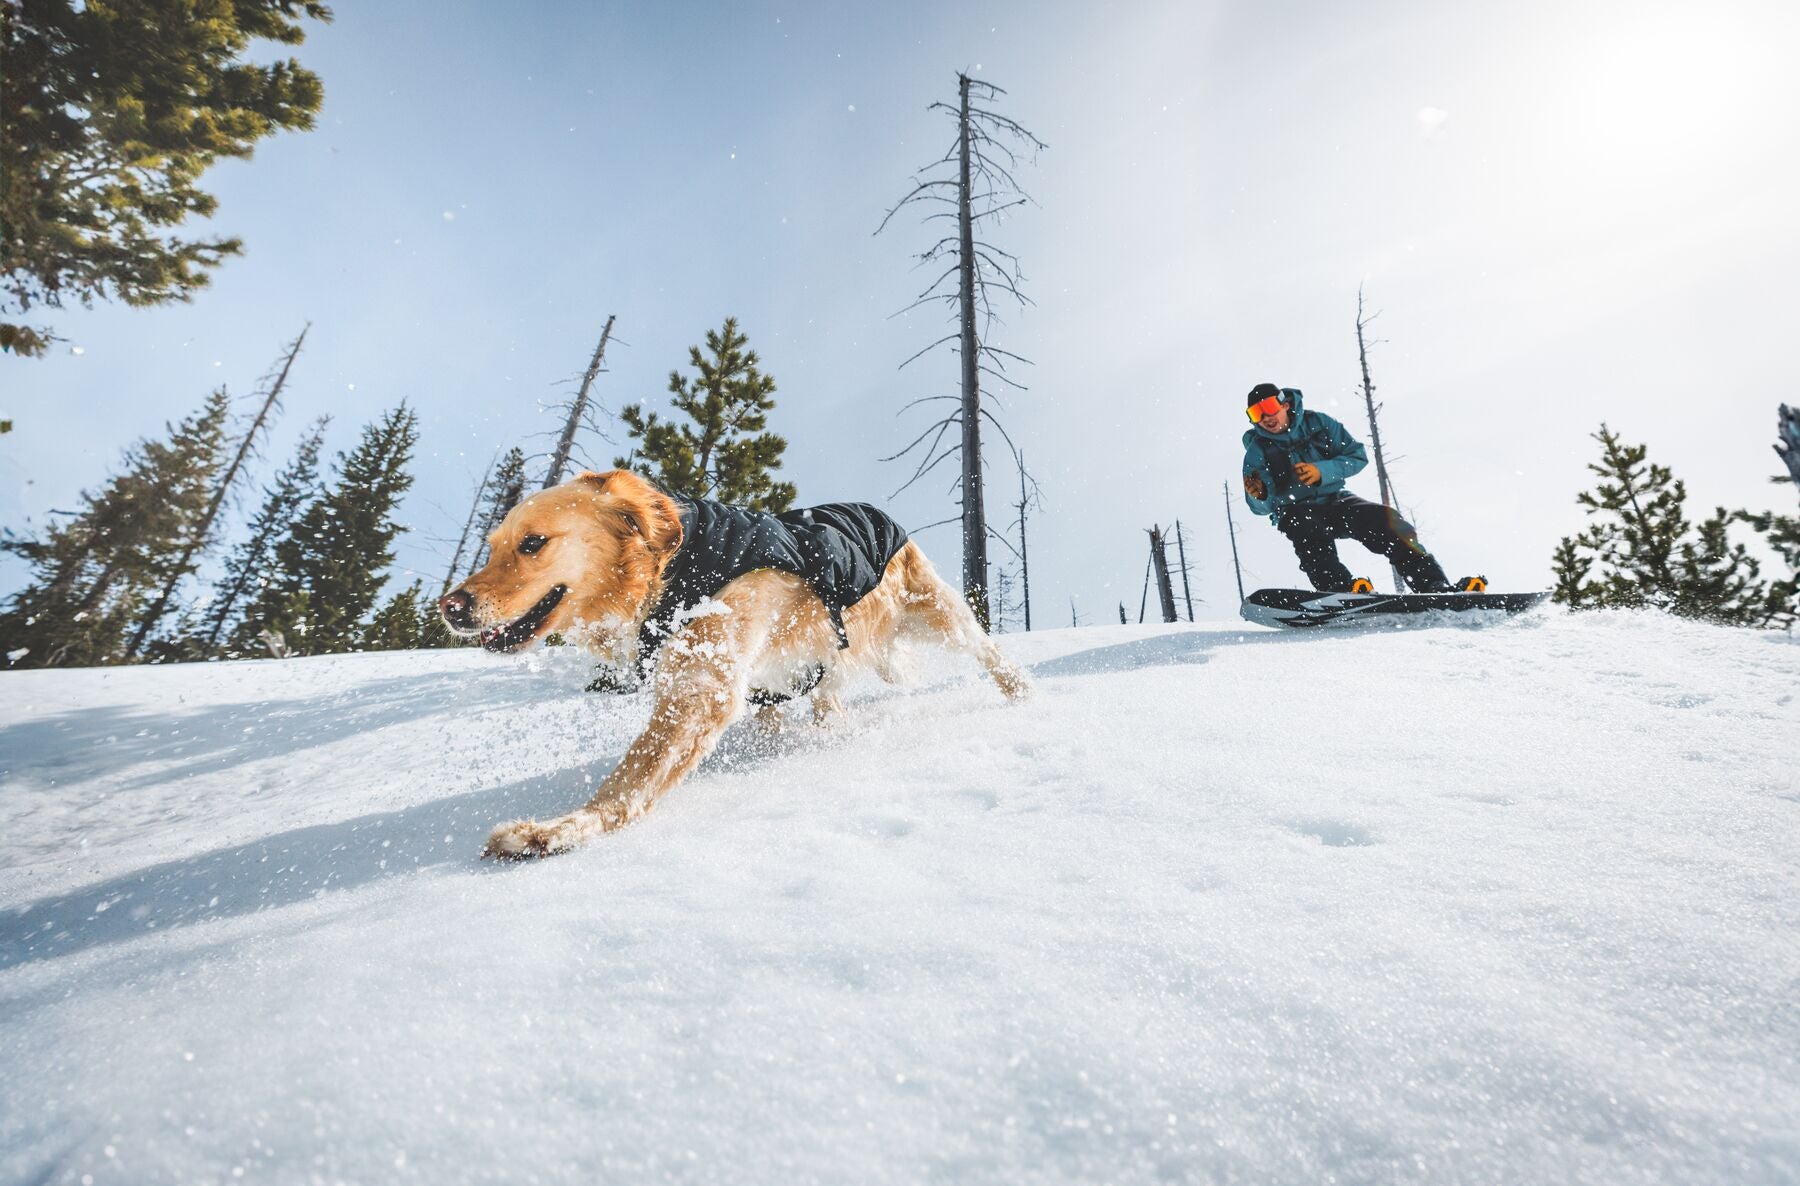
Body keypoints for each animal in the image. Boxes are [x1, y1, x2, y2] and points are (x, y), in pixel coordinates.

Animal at [437, 467, 1029, 856]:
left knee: (989, 651)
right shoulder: (744, 683)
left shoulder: (703, 687)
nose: (450, 606)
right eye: (490, 547)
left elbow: (631, 779)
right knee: (826, 705)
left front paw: (561, 828)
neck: (670, 571)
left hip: (938, 615)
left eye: (533, 543)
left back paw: (1025, 697)